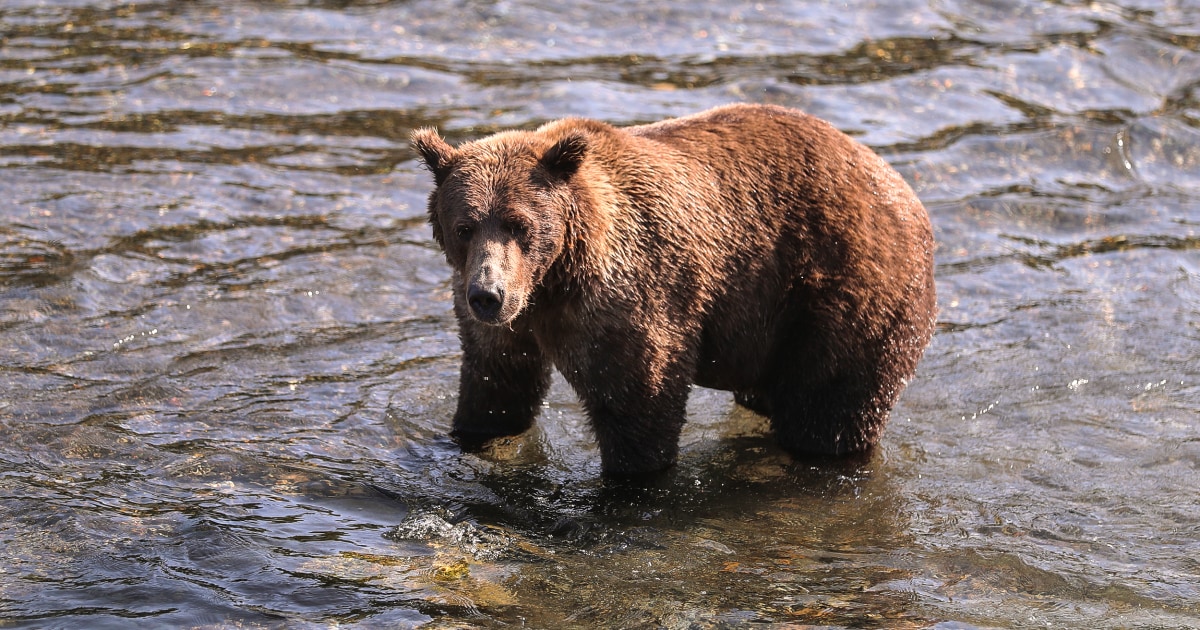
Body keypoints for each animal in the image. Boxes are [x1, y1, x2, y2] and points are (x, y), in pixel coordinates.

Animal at [412, 103, 936, 475]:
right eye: (465, 226)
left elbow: (639, 400)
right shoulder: (501, 319)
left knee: (829, 408)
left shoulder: (626, 294)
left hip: (844, 286)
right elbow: (496, 386)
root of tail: (902, 188)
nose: (489, 294)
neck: (554, 280)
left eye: (520, 225)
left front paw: (628, 478)